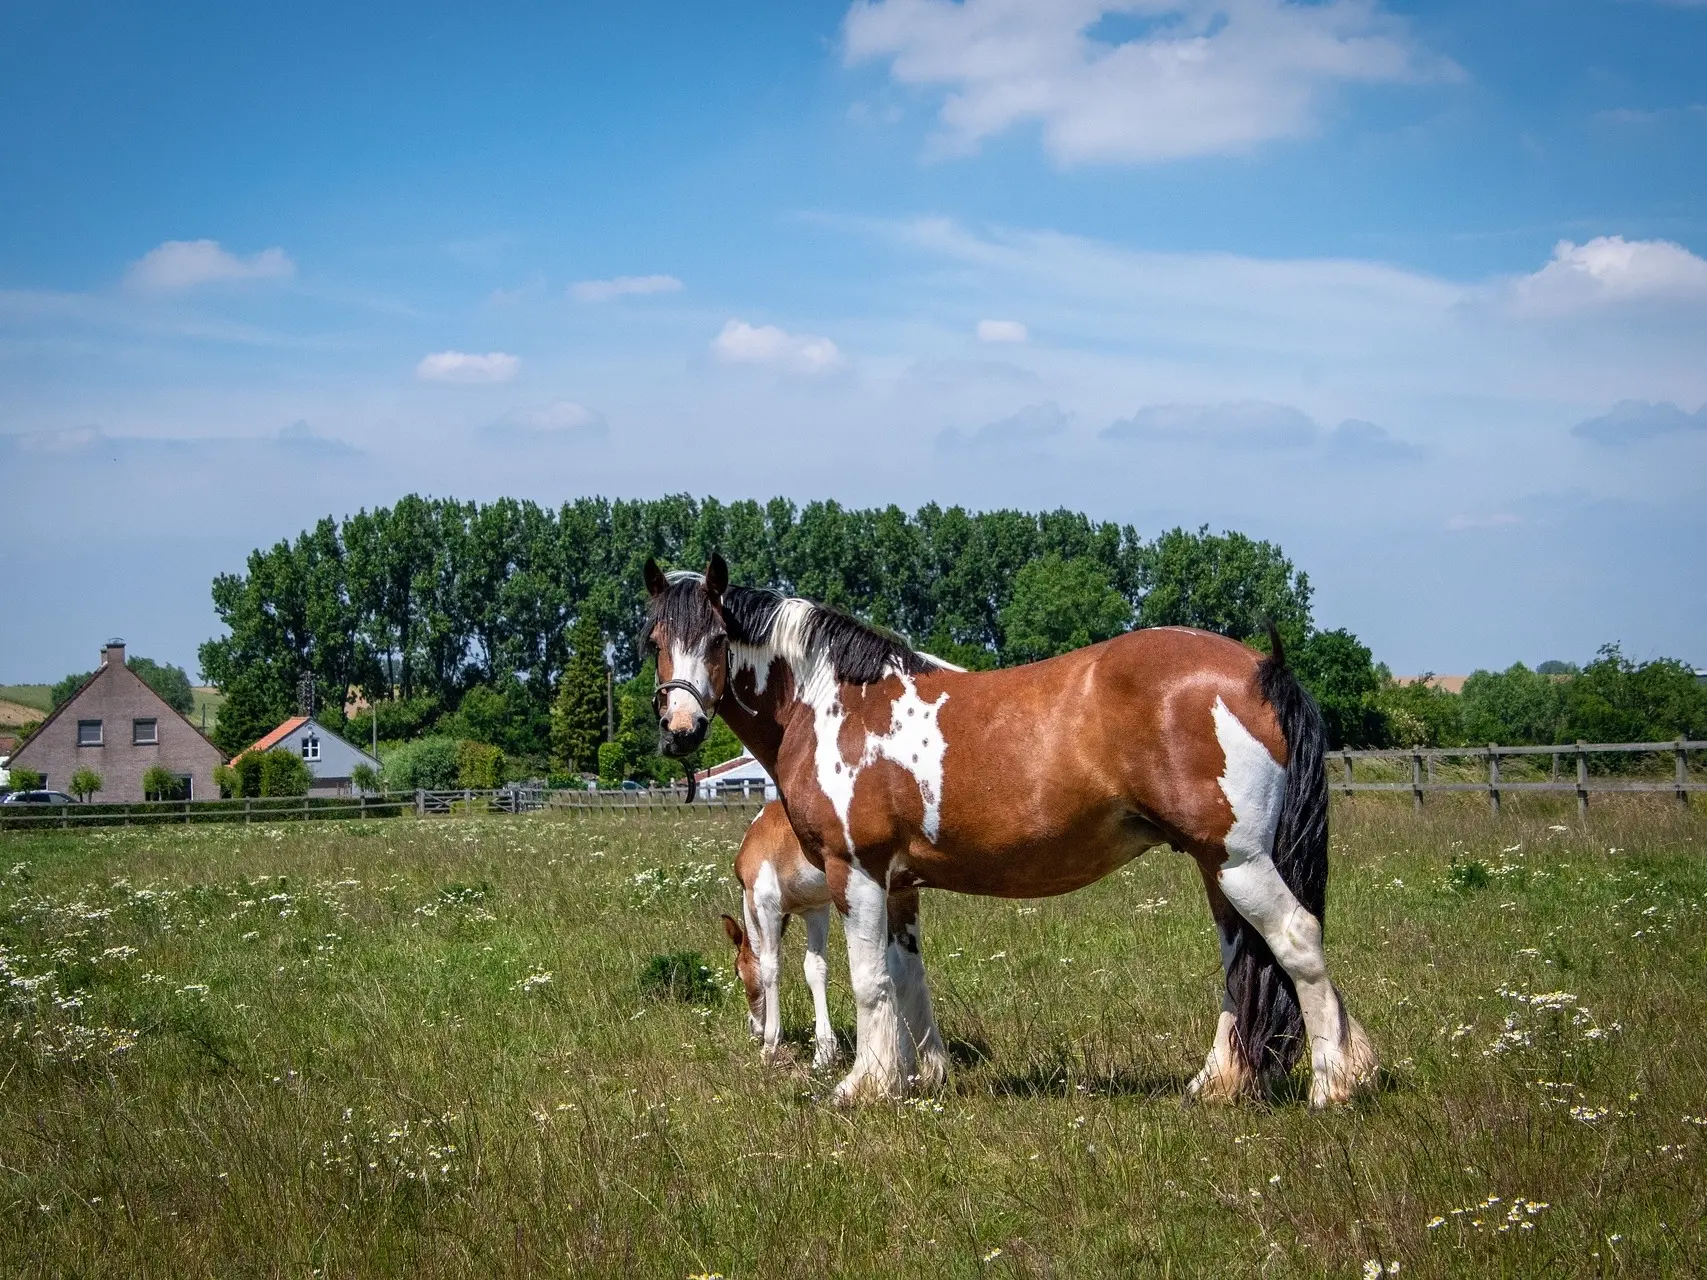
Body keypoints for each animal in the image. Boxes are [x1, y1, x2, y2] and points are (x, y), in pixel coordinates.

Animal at [645, 556, 1379, 1105]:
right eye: (655, 642)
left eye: (717, 639)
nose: (680, 728)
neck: (834, 701)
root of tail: (1260, 668)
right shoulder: (899, 884)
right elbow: (908, 978)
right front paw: (923, 1075)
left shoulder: (854, 871)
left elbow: (868, 981)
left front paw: (865, 1084)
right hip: (1216, 864)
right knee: (1239, 961)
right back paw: (1219, 1082)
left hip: (1238, 859)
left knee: (1296, 938)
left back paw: (1332, 1084)